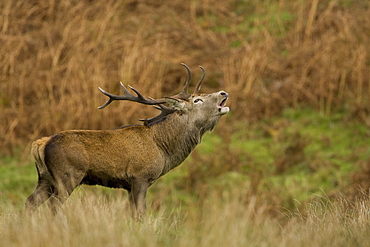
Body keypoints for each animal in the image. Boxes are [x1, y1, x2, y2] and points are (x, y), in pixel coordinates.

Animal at [24, 63, 228, 220]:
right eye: (197, 100)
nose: (223, 93)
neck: (163, 149)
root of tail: (41, 145)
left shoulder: (129, 185)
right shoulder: (140, 176)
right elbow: (140, 214)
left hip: (45, 177)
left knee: (30, 201)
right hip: (68, 175)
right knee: (54, 205)